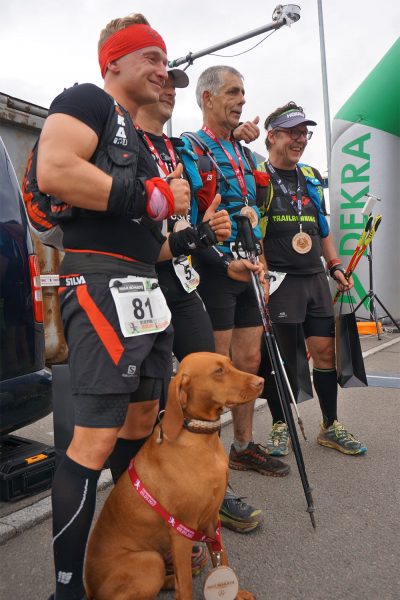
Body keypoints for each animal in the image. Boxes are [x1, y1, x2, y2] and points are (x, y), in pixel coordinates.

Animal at [85, 352, 262, 600]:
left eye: (229, 363)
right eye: (218, 371)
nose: (261, 381)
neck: (200, 437)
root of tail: (90, 588)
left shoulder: (212, 520)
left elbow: (222, 557)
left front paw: (235, 593)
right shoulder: (181, 533)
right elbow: (185, 585)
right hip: (151, 560)